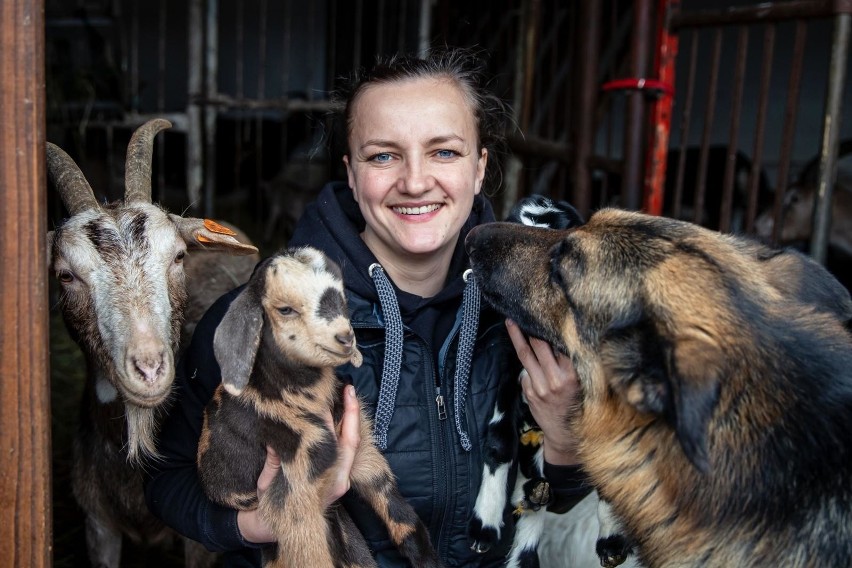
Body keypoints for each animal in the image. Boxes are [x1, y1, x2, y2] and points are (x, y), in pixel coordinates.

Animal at [196, 247, 442, 568]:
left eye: (343, 298)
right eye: (285, 309)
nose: (345, 338)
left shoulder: (361, 449)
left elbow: (396, 508)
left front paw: (428, 559)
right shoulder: (295, 482)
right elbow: (310, 551)